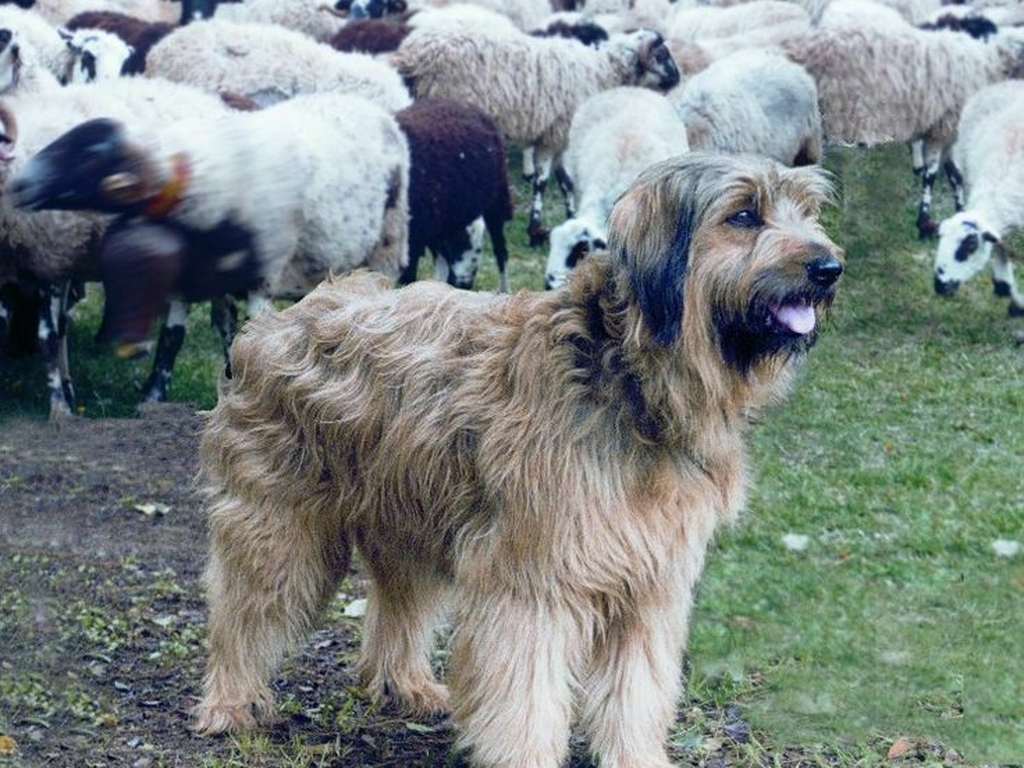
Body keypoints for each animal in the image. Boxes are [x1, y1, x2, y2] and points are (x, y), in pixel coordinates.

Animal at [190, 151, 839, 768]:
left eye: (806, 211)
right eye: (744, 215)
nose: (829, 267)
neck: (628, 378)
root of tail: (281, 317)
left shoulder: (650, 585)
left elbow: (636, 690)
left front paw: (634, 757)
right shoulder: (534, 581)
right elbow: (526, 694)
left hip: (408, 520)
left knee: (397, 606)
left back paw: (404, 684)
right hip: (279, 524)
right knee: (242, 610)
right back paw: (229, 701)